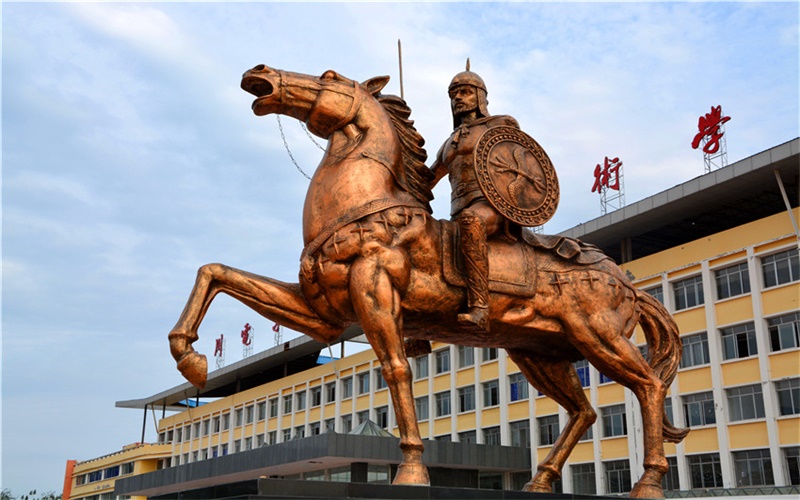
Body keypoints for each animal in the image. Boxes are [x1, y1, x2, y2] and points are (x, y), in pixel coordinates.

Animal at [167, 64, 688, 498]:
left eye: (328, 75)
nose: (259, 73)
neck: (366, 206)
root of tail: (625, 280)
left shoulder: (374, 293)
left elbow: (397, 370)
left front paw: (413, 470)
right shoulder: (326, 317)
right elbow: (216, 272)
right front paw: (190, 359)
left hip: (596, 336)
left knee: (648, 387)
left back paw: (648, 482)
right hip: (541, 354)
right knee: (585, 410)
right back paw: (540, 480)